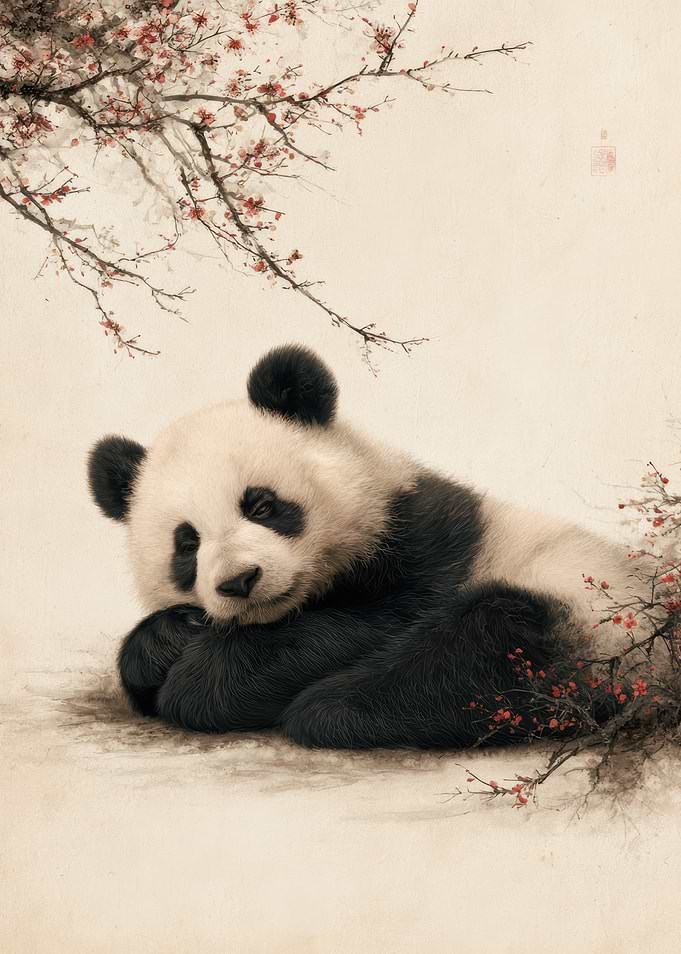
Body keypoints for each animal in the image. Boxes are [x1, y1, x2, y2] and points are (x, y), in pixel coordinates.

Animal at [88, 344, 646, 749]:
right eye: (186, 544)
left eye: (261, 505)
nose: (239, 581)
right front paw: (166, 641)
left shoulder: (425, 545)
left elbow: (361, 626)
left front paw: (201, 681)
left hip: (581, 618)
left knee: (477, 654)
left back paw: (330, 709)